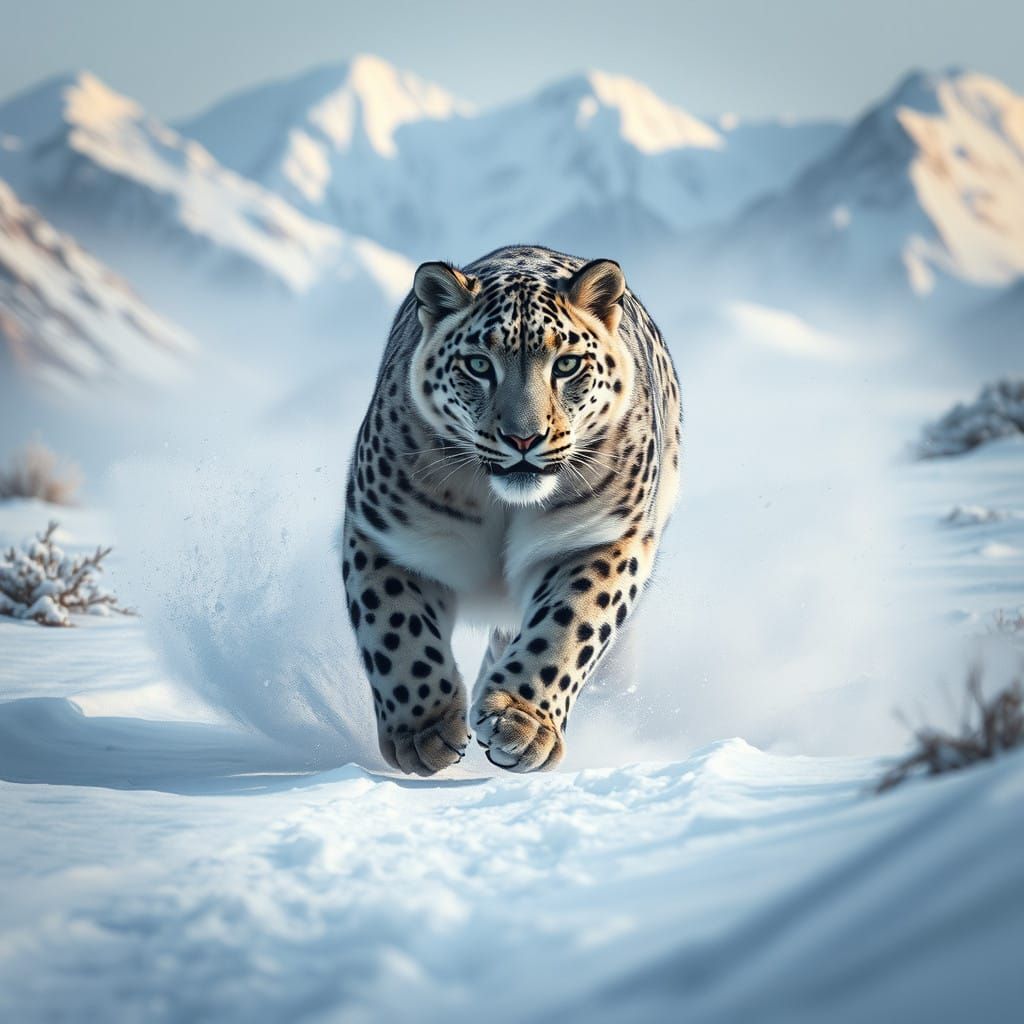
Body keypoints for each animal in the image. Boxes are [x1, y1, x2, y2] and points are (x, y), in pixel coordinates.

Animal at [339, 244, 681, 775]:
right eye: (479, 365)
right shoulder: (387, 536)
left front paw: (521, 724)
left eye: (567, 365)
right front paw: (425, 733)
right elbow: (397, 632)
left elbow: (569, 625)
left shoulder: (604, 538)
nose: (523, 438)